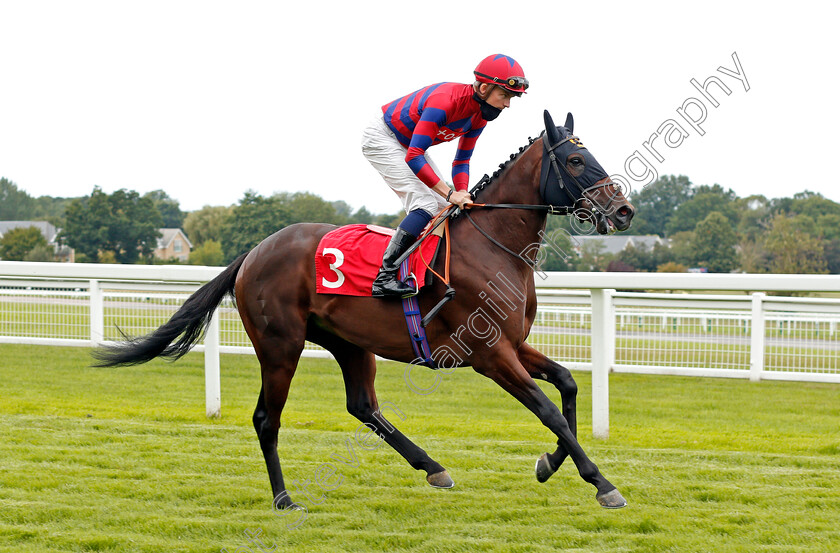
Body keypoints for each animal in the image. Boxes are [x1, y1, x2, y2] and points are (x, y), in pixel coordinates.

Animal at [95, 111, 632, 508]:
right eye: (577, 160)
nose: (623, 211)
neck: (492, 246)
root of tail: (252, 253)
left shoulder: (513, 343)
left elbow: (567, 385)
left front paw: (550, 463)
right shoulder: (489, 353)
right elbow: (548, 410)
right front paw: (602, 483)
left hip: (349, 342)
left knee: (363, 405)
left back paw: (433, 468)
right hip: (280, 345)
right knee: (268, 418)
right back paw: (284, 498)